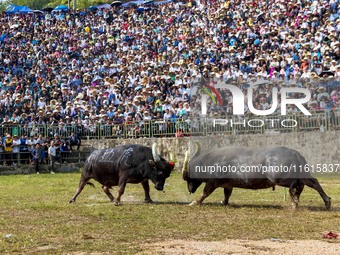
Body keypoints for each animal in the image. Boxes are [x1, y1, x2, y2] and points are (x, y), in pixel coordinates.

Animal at [182, 143, 330, 209]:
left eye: (189, 176)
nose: (190, 189)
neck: (212, 161)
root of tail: (294, 153)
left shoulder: (212, 182)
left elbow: (205, 192)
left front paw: (195, 202)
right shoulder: (228, 184)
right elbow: (227, 194)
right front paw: (224, 202)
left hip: (279, 177)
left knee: (298, 185)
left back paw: (295, 200)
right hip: (302, 173)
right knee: (312, 182)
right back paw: (325, 202)